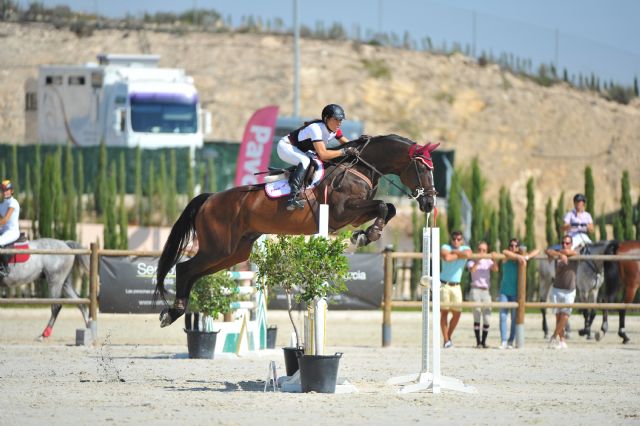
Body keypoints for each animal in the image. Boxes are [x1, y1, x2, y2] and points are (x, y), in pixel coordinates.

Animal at [152, 135, 438, 328]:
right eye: (423, 168)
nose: (429, 203)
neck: (360, 167)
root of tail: (209, 198)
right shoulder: (343, 211)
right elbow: (382, 205)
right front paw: (370, 235)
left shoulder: (354, 215)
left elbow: (389, 208)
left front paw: (367, 235)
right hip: (218, 248)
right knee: (185, 269)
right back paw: (172, 312)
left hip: (233, 252)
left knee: (193, 273)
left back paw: (174, 311)